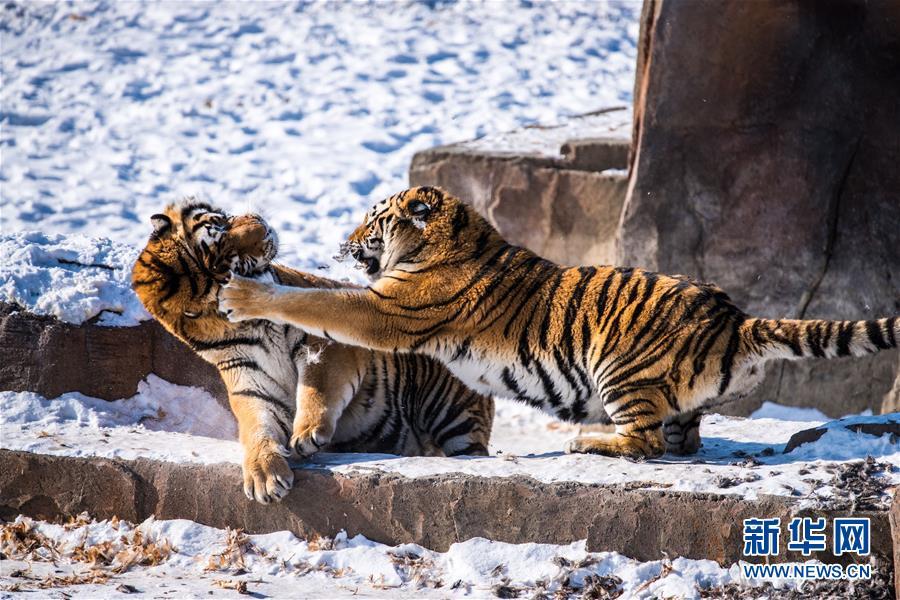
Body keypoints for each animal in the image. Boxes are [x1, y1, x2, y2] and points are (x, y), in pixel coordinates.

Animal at [132, 199, 492, 504]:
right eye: (229, 264)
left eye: (220, 222)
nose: (262, 225)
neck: (250, 325)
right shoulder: (252, 385)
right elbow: (257, 428)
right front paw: (264, 476)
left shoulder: (325, 343)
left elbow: (315, 388)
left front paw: (306, 434)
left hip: (452, 412)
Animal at [220, 184, 900, 460]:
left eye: (373, 219)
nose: (344, 240)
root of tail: (737, 318)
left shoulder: (388, 308)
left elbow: (318, 304)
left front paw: (245, 294)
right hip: (672, 398)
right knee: (683, 440)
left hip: (619, 368)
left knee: (646, 443)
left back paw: (585, 441)